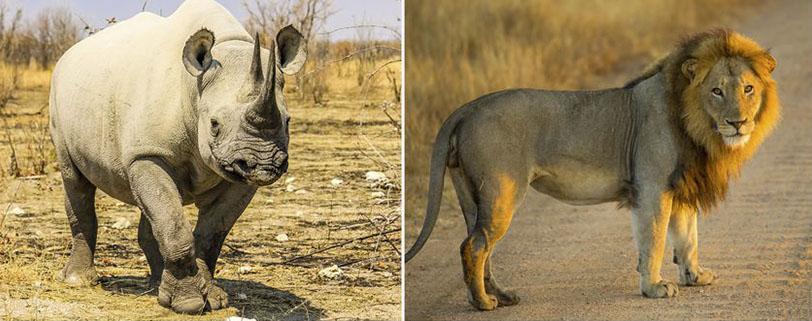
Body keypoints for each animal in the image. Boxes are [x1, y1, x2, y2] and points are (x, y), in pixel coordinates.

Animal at [406, 30, 780, 310]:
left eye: (748, 88)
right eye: (716, 91)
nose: (738, 122)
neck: (697, 124)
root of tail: (467, 107)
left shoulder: (681, 185)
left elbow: (688, 238)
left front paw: (695, 277)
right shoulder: (652, 187)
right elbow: (655, 240)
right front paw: (654, 288)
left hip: (472, 194)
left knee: (481, 245)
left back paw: (500, 295)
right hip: (502, 191)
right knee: (475, 246)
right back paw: (482, 303)